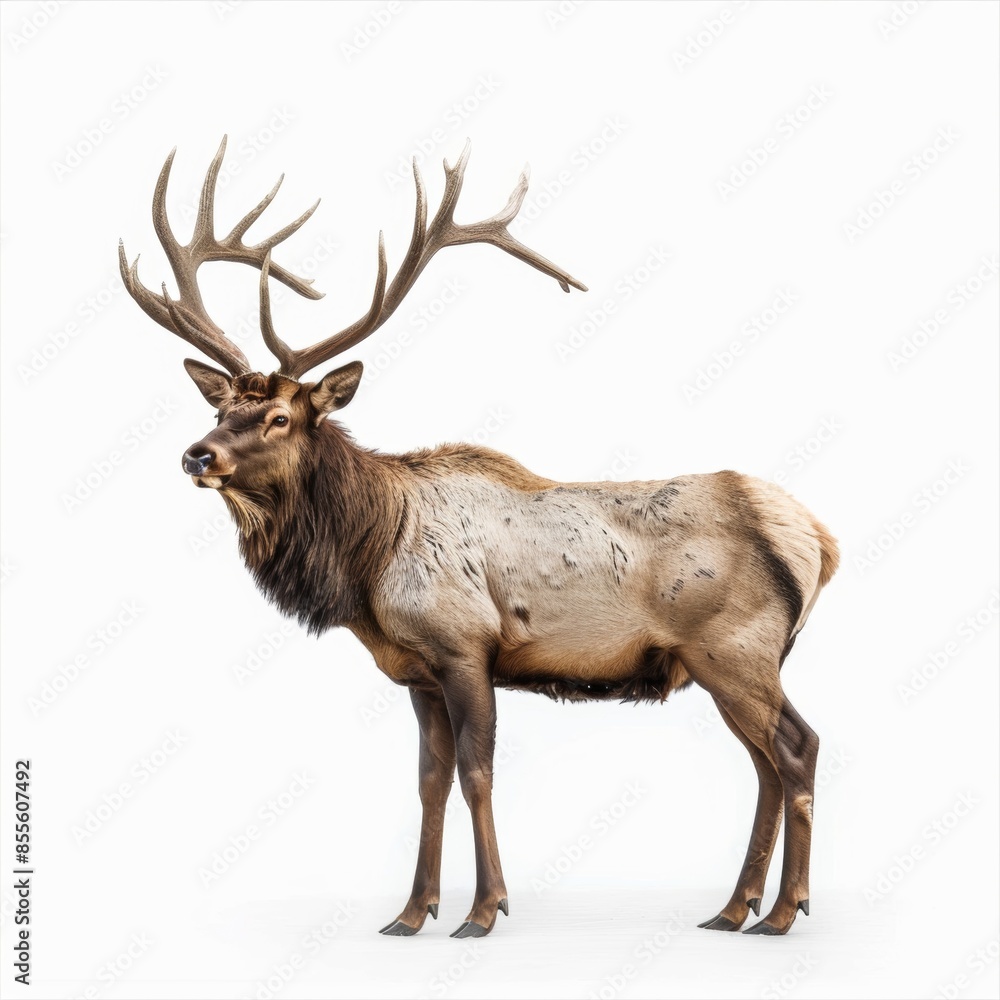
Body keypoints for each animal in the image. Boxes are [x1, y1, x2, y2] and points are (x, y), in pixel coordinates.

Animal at [119, 137, 838, 939]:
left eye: (279, 418)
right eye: (222, 410)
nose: (197, 454)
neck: (369, 559)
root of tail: (817, 539)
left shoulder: (466, 648)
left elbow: (476, 775)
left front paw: (484, 909)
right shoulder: (417, 671)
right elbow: (429, 781)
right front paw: (410, 913)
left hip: (734, 648)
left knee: (798, 749)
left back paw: (783, 911)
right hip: (728, 662)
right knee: (766, 762)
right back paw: (735, 907)